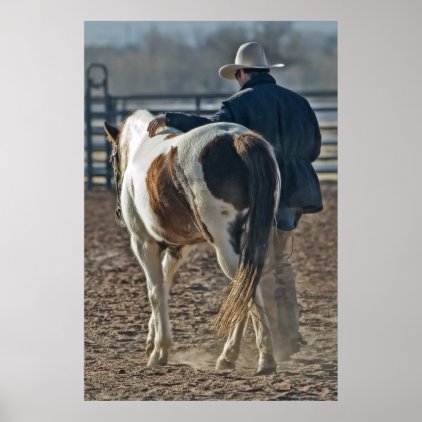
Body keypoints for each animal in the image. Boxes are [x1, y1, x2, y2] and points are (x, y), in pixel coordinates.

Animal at [103, 110, 280, 374]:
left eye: (113, 159)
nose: (117, 213)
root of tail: (236, 138)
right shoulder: (179, 248)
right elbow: (164, 284)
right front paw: (152, 340)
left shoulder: (143, 243)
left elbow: (155, 291)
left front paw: (159, 352)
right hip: (254, 239)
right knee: (245, 285)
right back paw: (229, 357)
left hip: (224, 245)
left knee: (246, 287)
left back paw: (264, 359)